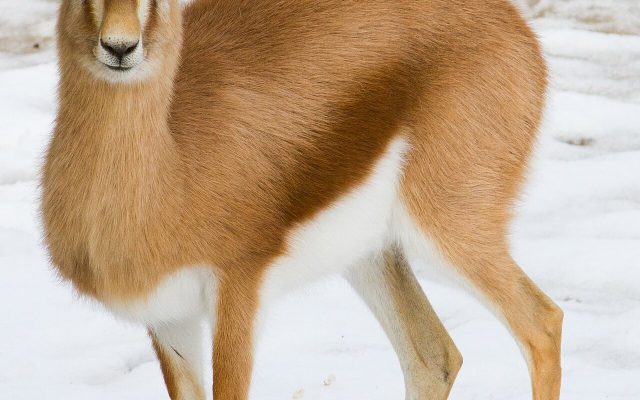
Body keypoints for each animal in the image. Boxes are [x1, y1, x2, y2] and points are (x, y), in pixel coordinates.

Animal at [41, 0, 563, 399]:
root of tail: (515, 25)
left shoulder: (238, 293)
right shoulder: (170, 320)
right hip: (371, 254)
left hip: (446, 233)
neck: (173, 166)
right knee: (433, 356)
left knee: (542, 323)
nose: (120, 47)